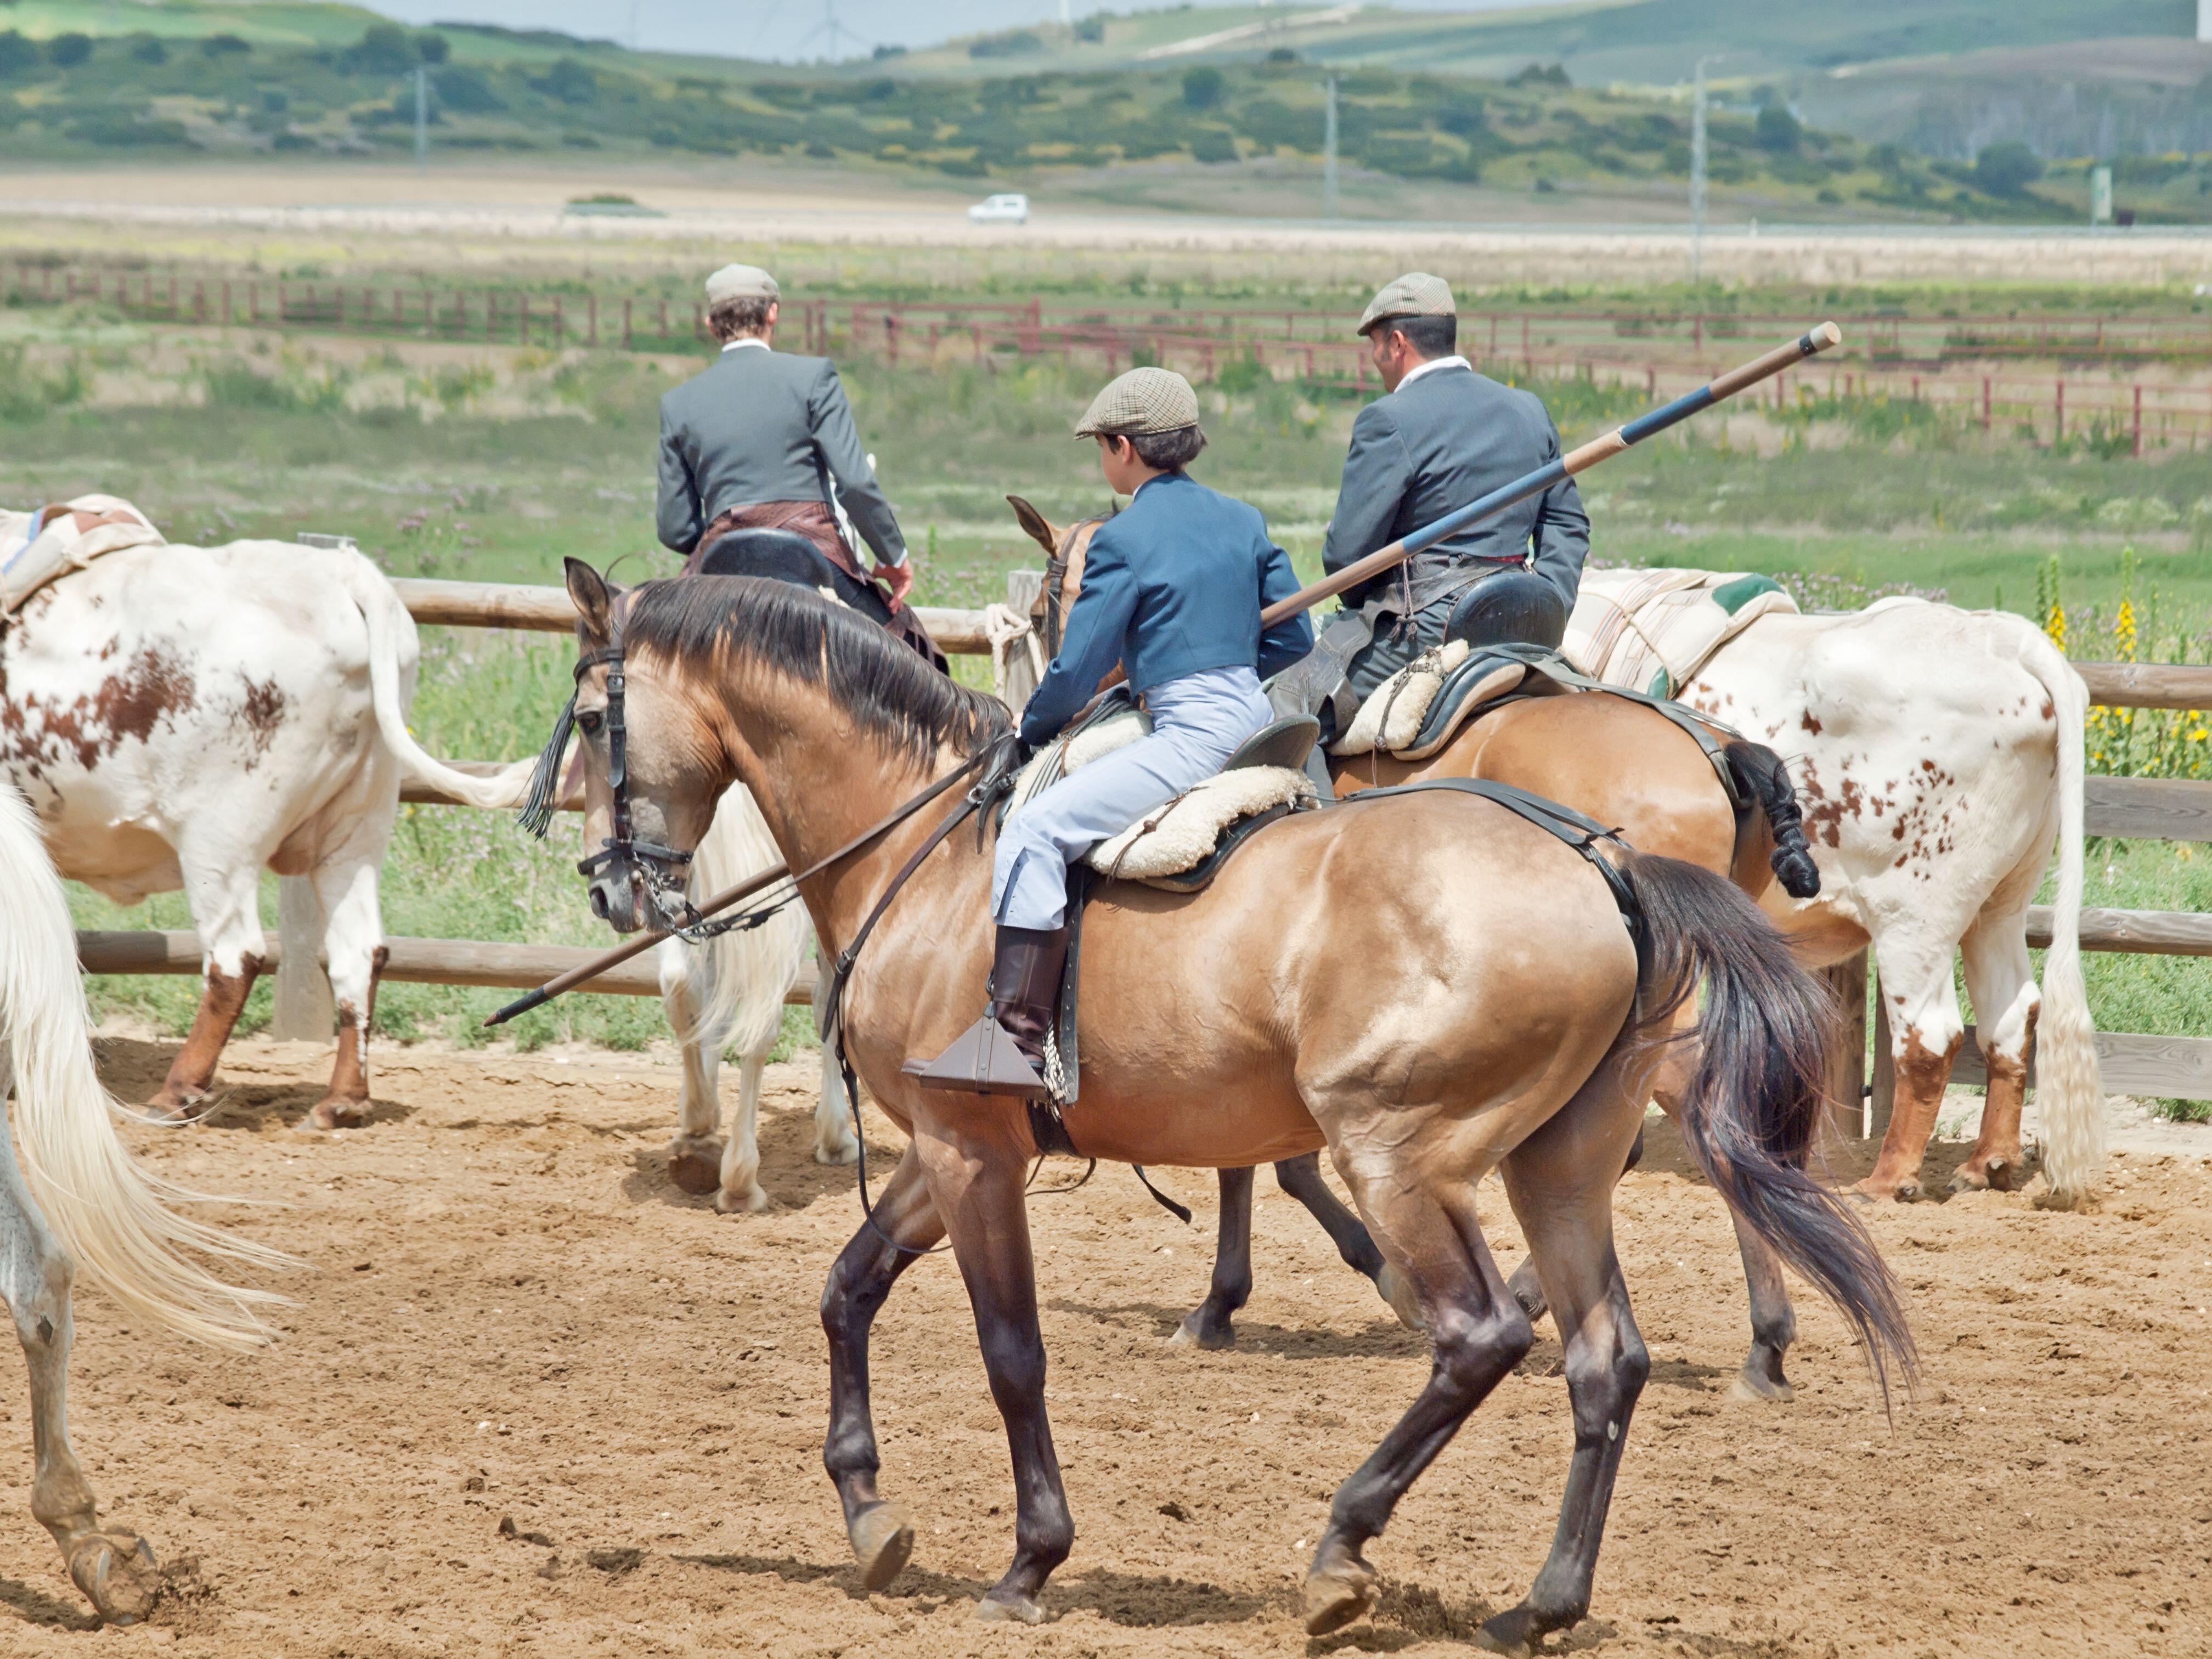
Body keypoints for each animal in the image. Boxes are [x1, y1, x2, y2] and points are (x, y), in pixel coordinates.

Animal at [0, 529, 528, 1128]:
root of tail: (341, 574)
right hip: (355, 829)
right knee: (358, 952)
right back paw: (341, 1102)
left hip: (218, 842)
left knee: (236, 957)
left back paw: (178, 1092)